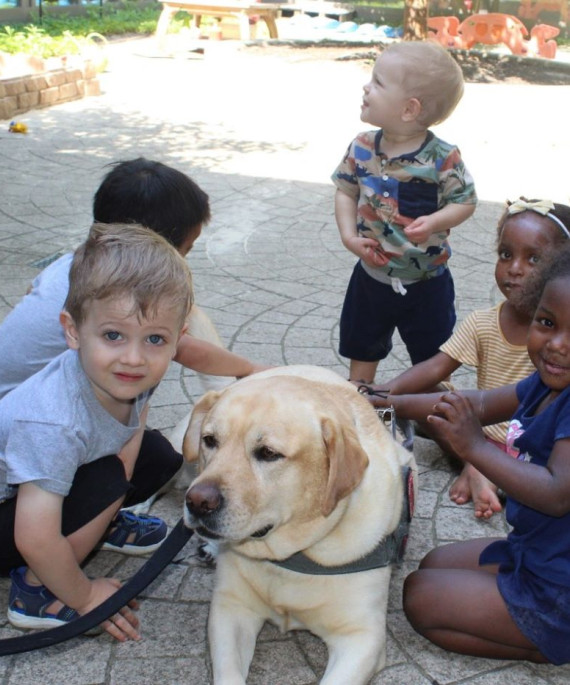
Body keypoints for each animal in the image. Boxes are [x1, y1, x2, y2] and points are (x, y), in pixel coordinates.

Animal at [184, 366, 414, 680]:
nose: (197, 502)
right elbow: (228, 674)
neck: (290, 557)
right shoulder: (230, 609)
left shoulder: (362, 637)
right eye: (209, 440)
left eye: (268, 453)